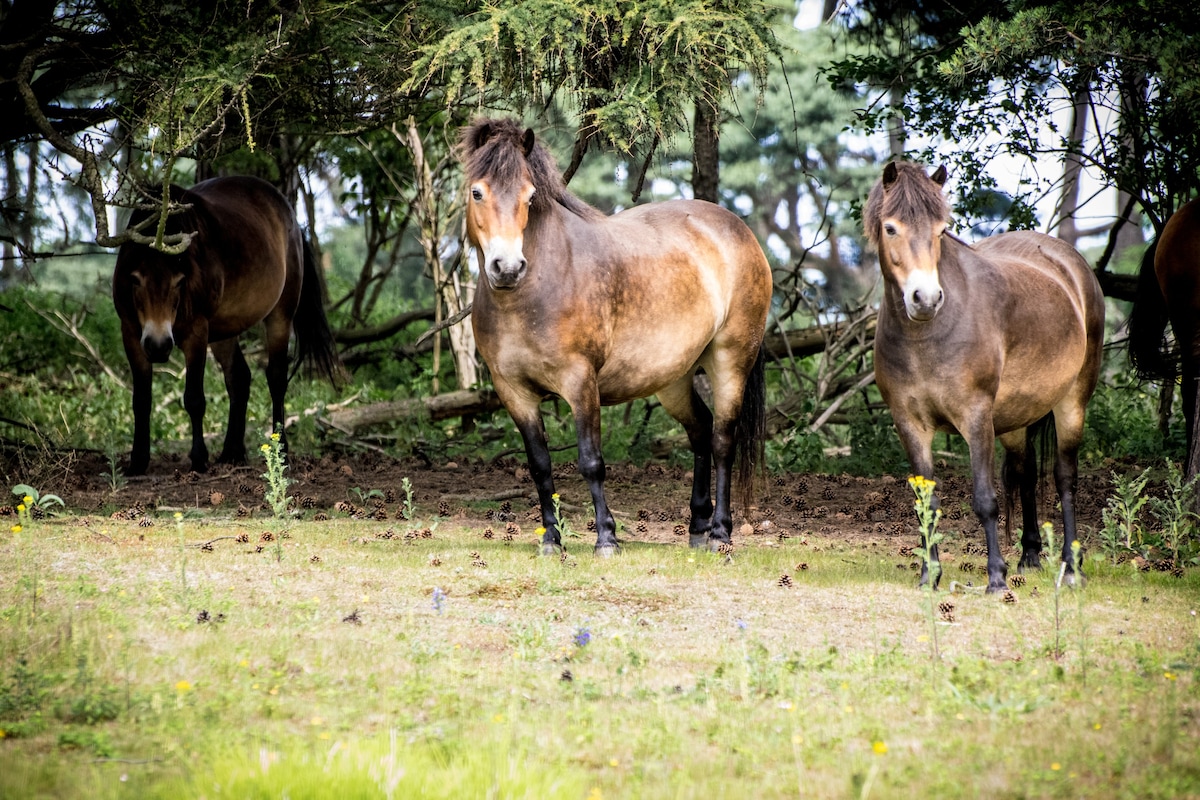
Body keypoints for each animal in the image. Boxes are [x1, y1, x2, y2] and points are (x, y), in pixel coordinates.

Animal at [111, 175, 343, 474]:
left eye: (179, 281)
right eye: (136, 279)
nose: (159, 345)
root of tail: (290, 214)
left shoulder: (196, 334)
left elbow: (194, 399)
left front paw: (199, 458)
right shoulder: (131, 334)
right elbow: (141, 400)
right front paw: (138, 461)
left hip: (280, 314)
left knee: (276, 378)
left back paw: (281, 450)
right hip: (223, 331)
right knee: (239, 378)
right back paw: (232, 452)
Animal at [453, 120, 772, 556]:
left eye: (530, 196)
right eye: (477, 192)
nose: (508, 267)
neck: (531, 294)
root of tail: (739, 230)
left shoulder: (580, 383)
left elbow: (592, 462)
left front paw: (606, 538)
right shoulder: (513, 392)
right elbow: (539, 465)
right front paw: (551, 540)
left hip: (731, 359)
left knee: (723, 440)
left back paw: (720, 533)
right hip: (674, 378)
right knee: (701, 431)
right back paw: (697, 527)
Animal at [864, 163, 1104, 592]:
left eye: (941, 230)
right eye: (891, 228)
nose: (925, 299)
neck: (928, 336)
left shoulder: (976, 417)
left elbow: (985, 499)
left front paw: (995, 577)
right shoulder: (910, 424)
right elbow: (927, 504)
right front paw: (929, 576)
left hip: (1072, 403)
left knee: (1064, 479)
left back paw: (1071, 568)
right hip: (1015, 418)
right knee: (1026, 474)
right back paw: (1029, 556)